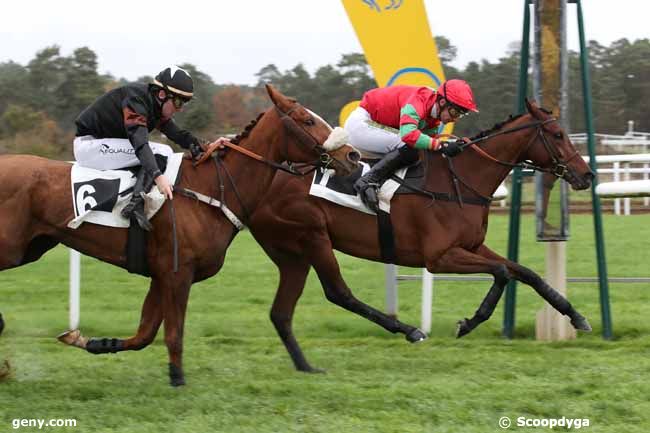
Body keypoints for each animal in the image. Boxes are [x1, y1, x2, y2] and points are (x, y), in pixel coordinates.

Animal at [0, 84, 360, 384]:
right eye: (307, 120)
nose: (353, 156)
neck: (211, 189)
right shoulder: (177, 273)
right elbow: (174, 333)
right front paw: (177, 380)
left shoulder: (161, 275)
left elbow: (144, 334)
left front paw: (91, 341)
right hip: (10, 248)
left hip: (32, 247)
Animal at [248, 98, 592, 372]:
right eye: (558, 134)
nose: (587, 175)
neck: (460, 179)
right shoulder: (439, 257)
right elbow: (502, 272)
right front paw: (469, 323)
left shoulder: (472, 246)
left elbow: (526, 273)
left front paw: (576, 316)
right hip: (312, 235)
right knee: (338, 292)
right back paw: (411, 330)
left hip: (290, 252)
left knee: (286, 310)